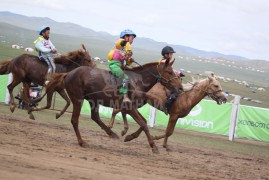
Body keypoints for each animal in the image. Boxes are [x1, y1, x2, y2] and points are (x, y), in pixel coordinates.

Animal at [46, 59, 181, 153]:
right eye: (169, 72)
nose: (180, 87)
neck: (137, 82)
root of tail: (68, 73)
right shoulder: (129, 107)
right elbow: (143, 124)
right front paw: (153, 147)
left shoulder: (131, 107)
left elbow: (144, 122)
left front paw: (130, 136)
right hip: (78, 99)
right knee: (75, 120)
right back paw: (82, 142)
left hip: (93, 100)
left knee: (95, 117)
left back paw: (112, 133)